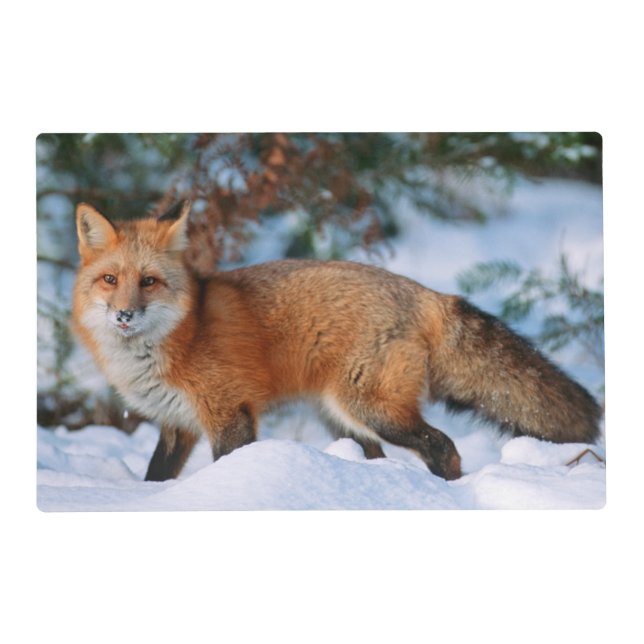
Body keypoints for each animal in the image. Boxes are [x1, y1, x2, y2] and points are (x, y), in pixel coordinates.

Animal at [71, 200, 602, 482]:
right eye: (110, 280)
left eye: (149, 282)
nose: (124, 314)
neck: (177, 338)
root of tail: (424, 292)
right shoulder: (177, 425)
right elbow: (154, 476)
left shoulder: (229, 413)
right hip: (342, 418)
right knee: (382, 456)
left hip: (371, 409)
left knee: (443, 446)